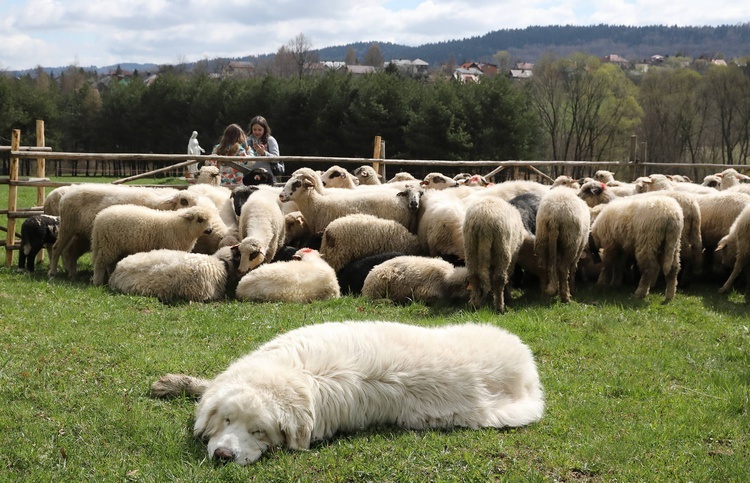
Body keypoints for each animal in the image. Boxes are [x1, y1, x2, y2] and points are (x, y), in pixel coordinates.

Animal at [46, 183, 200, 278]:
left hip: (80, 234)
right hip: (67, 227)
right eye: (184, 201)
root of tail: (65, 195)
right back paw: (53, 272)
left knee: (70, 251)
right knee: (56, 248)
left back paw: (72, 273)